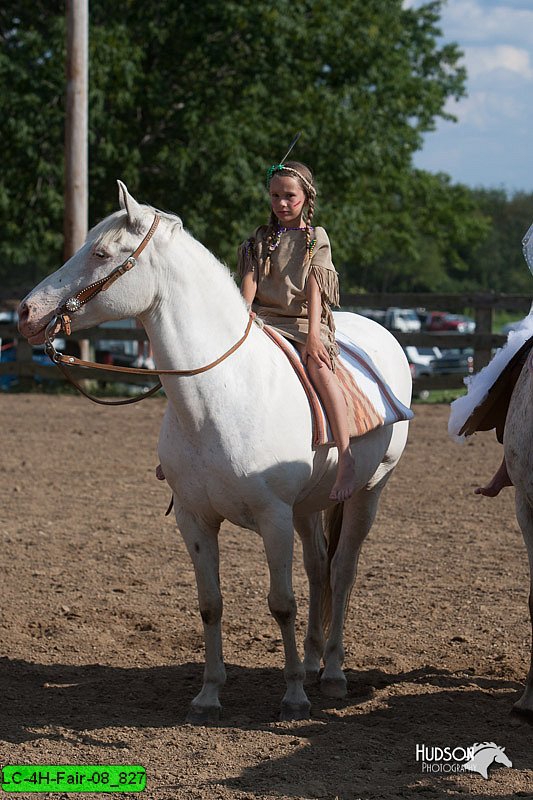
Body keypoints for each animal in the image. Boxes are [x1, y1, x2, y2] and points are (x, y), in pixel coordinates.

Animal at [17, 184, 412, 720]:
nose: (26, 312)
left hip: (367, 493)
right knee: (318, 570)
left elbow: (281, 602)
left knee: (342, 572)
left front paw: (292, 697)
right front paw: (208, 695)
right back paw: (312, 662)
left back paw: (330, 674)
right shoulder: (195, 519)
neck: (220, 392)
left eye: (100, 253)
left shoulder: (273, 516)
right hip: (309, 507)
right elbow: (211, 604)